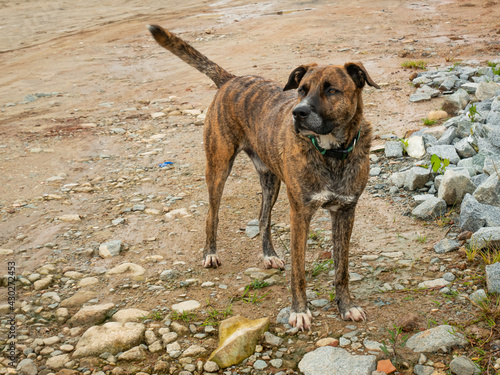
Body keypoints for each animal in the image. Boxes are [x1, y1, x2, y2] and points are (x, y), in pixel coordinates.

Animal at [147, 23, 378, 330]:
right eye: (302, 90)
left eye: (331, 90)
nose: (298, 113)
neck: (331, 153)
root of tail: (231, 80)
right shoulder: (300, 213)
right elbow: (298, 271)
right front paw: (299, 311)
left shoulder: (346, 211)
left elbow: (342, 269)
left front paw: (347, 306)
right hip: (218, 167)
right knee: (212, 215)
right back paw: (210, 253)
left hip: (271, 180)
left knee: (263, 217)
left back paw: (269, 255)